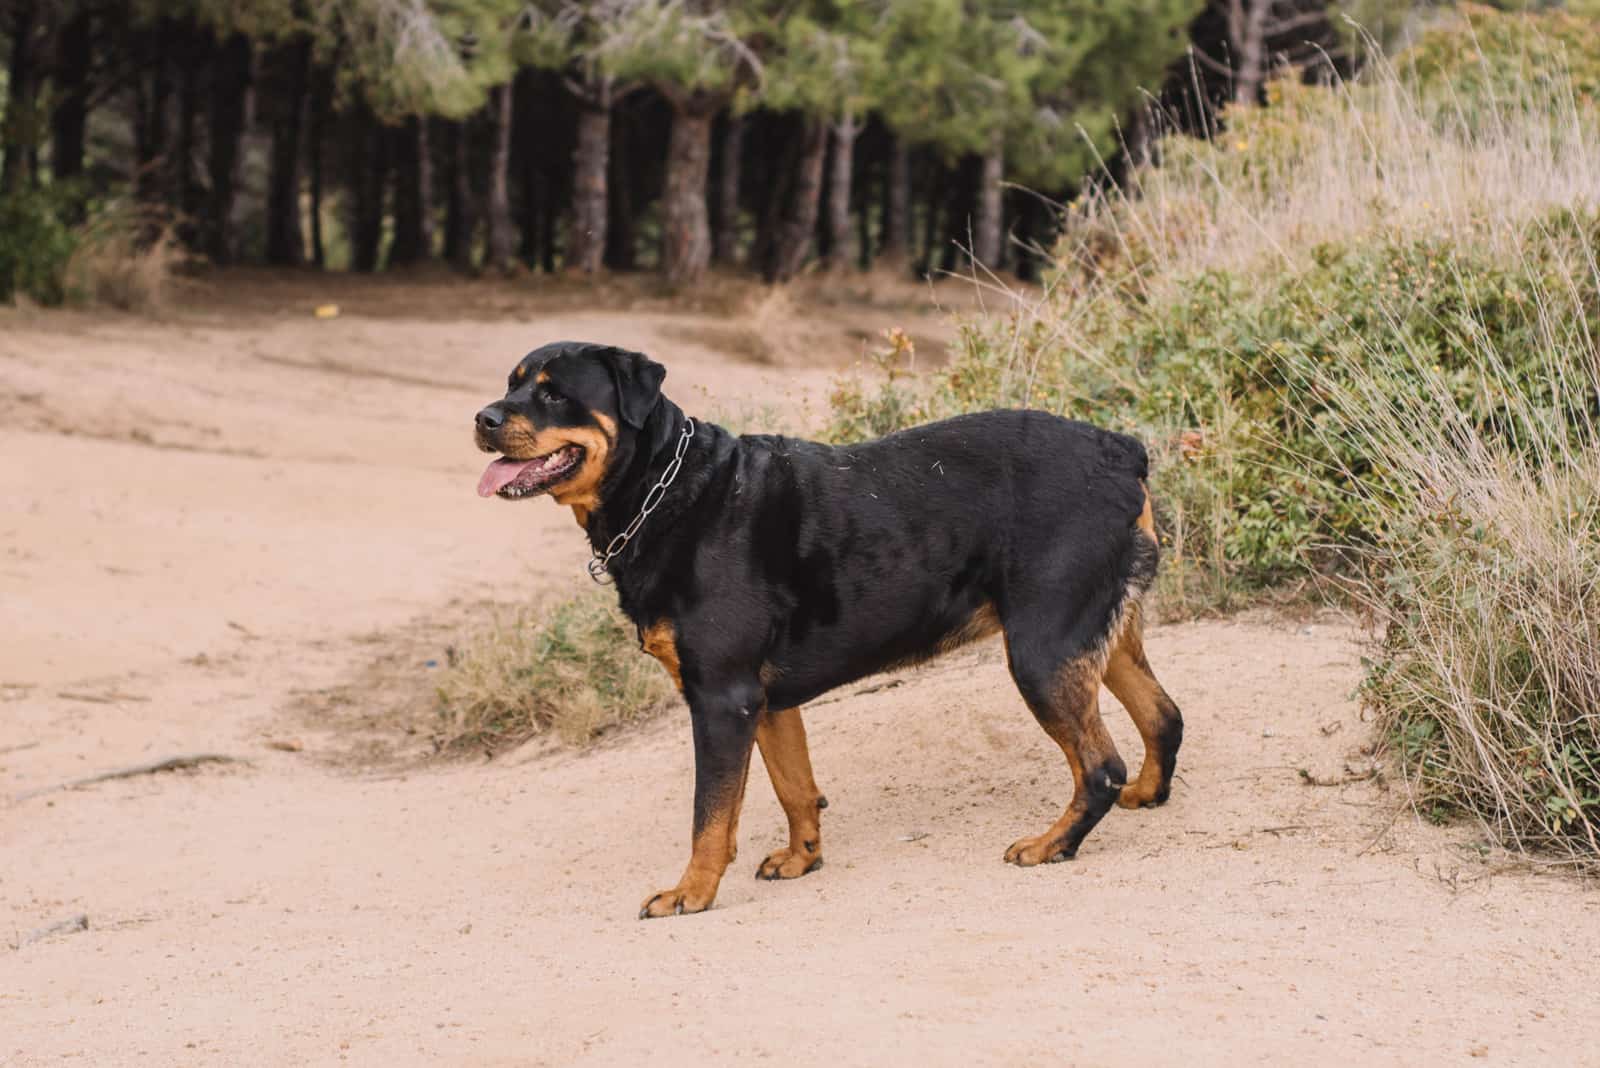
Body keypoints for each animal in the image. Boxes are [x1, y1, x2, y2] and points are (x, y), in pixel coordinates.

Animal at [467, 342, 1184, 920]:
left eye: (554, 392)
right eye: (510, 384)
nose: (484, 418)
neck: (664, 492)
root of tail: (1119, 450)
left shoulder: (722, 699)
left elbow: (709, 815)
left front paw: (691, 894)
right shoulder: (763, 701)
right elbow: (794, 789)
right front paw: (801, 858)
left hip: (1040, 648)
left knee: (1099, 766)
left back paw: (1050, 844)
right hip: (1095, 634)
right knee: (1163, 716)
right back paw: (1147, 794)